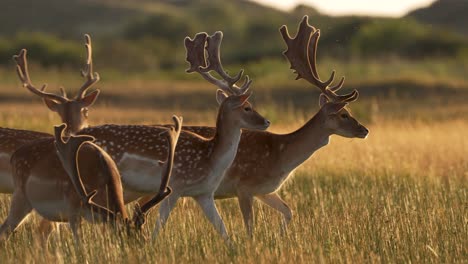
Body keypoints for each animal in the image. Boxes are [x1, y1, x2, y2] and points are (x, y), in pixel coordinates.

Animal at [157, 15, 370, 236]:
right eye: (344, 114)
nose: (364, 130)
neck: (280, 157)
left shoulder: (265, 191)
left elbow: (289, 211)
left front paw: (280, 236)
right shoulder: (244, 187)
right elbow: (250, 228)